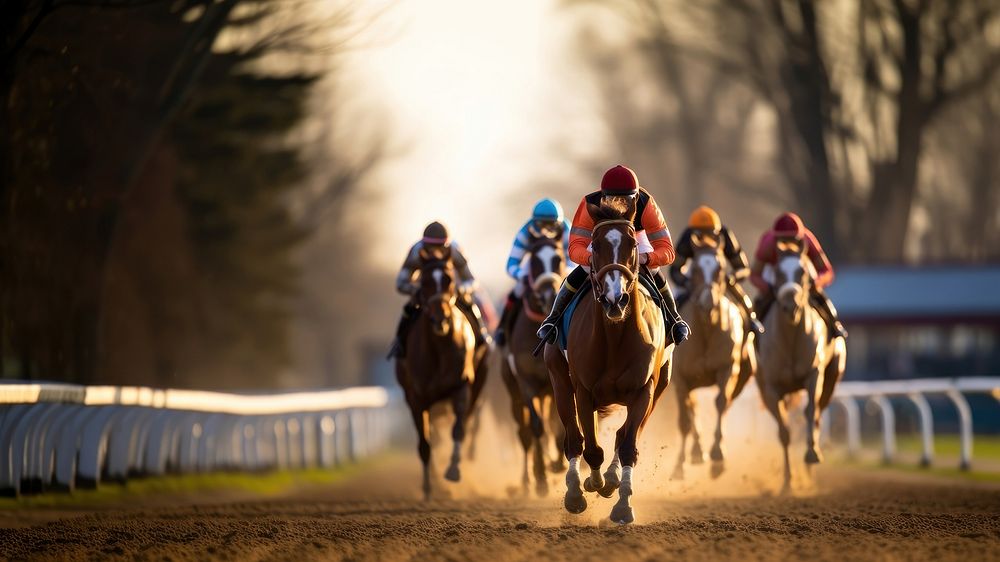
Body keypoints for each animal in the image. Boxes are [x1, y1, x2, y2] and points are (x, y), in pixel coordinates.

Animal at [398, 252, 492, 496]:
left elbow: (458, 429)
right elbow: (425, 443)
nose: (440, 318)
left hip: (479, 384)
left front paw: (453, 470)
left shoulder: (461, 386)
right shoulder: (417, 398)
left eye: (449, 280)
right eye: (424, 282)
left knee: (467, 422)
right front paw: (428, 487)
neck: (438, 349)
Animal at [548, 199, 672, 524]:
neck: (615, 339)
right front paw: (588, 487)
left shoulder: (645, 390)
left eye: (632, 244)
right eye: (595, 243)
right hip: (559, 381)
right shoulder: (584, 390)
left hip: (659, 389)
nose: (615, 299)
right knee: (574, 439)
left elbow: (628, 445)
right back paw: (576, 488)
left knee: (621, 434)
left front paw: (622, 504)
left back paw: (613, 478)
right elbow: (590, 447)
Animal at [668, 238, 752, 480]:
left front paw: (717, 456)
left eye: (721, 269)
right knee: (691, 409)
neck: (706, 328)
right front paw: (679, 466)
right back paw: (696, 452)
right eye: (695, 268)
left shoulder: (727, 368)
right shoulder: (680, 379)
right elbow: (684, 420)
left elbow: (721, 403)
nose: (708, 302)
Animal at [756, 247, 844, 492]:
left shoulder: (814, 374)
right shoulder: (771, 387)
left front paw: (812, 454)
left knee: (817, 417)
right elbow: (784, 431)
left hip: (832, 377)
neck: (791, 338)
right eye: (777, 272)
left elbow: (810, 412)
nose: (790, 306)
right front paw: (788, 480)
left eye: (802, 272)